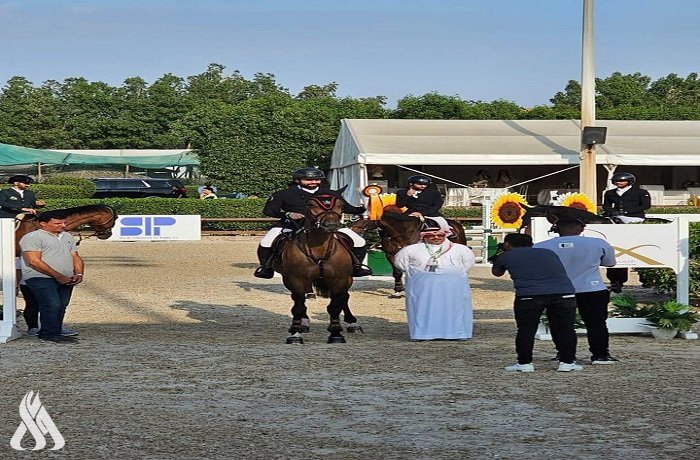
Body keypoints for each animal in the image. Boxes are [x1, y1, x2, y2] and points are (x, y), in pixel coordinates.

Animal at [274, 192, 358, 344]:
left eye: (340, 205)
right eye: (311, 205)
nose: (331, 225)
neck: (319, 249)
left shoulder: (339, 279)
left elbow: (335, 306)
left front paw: (336, 333)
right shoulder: (296, 279)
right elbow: (298, 307)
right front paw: (295, 334)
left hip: (347, 279)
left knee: (344, 297)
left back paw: (352, 323)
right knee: (299, 300)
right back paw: (303, 324)